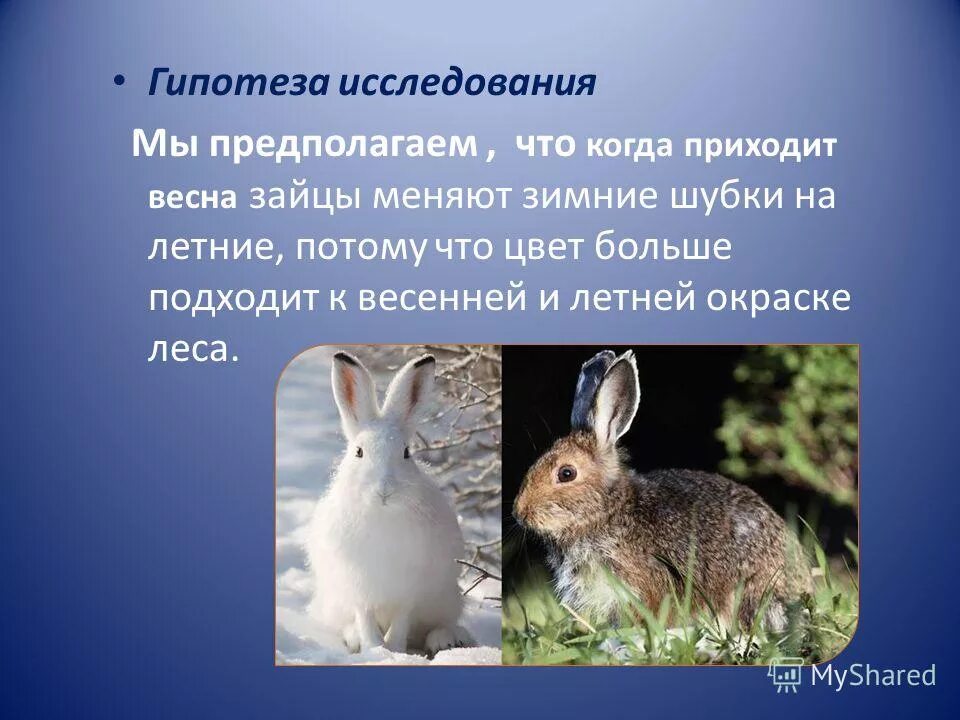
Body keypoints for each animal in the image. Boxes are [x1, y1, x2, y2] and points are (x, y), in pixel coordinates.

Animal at [305, 351, 473, 655]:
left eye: (406, 452)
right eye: (358, 452)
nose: (384, 489)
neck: (382, 514)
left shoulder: (408, 590)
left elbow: (401, 621)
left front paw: (393, 649)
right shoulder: (359, 588)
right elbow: (365, 617)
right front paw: (375, 650)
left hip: (446, 598)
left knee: (437, 624)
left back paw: (447, 639)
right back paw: (355, 639)